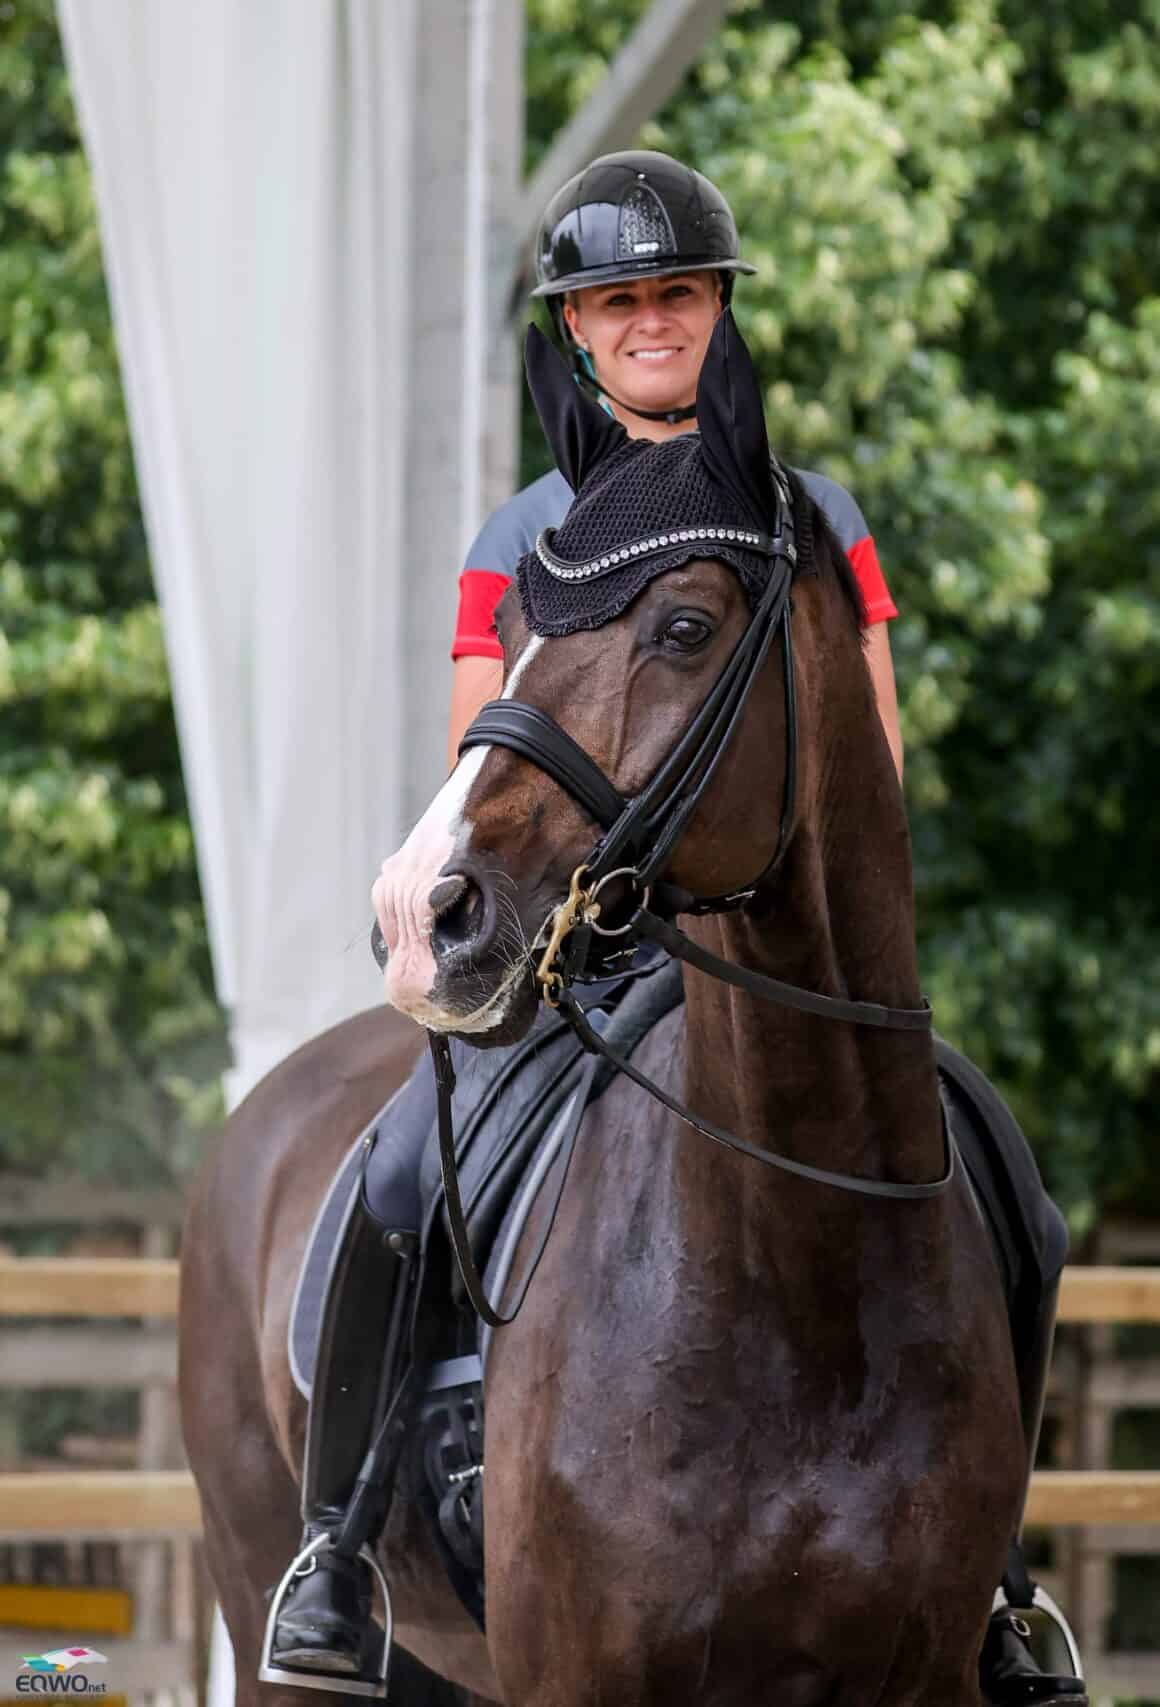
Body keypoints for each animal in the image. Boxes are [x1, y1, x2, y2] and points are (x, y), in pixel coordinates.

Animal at [180, 314, 1023, 1700]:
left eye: (684, 626)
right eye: (514, 617)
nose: (421, 912)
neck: (802, 1270)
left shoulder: (918, 1675)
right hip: (261, 1596)